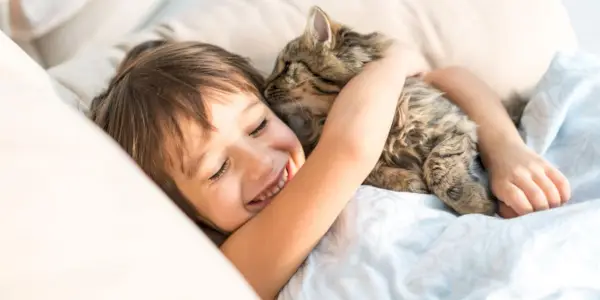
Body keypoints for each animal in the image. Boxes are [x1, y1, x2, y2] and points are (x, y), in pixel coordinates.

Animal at [262, 6, 496, 216]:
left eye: (286, 67)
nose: (264, 89)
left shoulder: (456, 127)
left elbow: (438, 166)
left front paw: (473, 203)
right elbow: (376, 172)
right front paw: (410, 181)